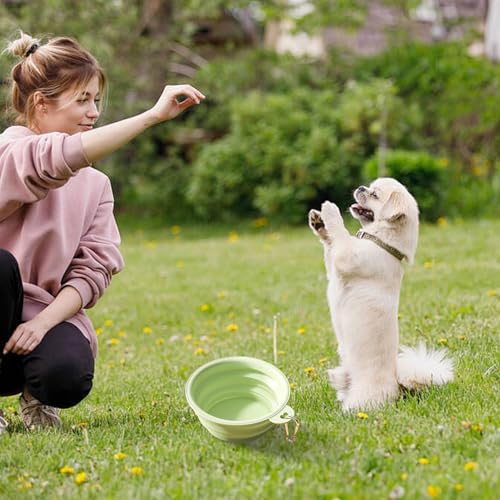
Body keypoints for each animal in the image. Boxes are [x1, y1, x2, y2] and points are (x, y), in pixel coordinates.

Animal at [308, 178, 454, 412]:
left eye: (375, 195)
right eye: (368, 187)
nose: (361, 188)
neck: (380, 242)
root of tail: (398, 388)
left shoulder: (346, 257)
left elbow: (340, 233)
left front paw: (330, 210)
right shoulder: (334, 265)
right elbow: (331, 243)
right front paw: (319, 222)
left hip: (363, 400)